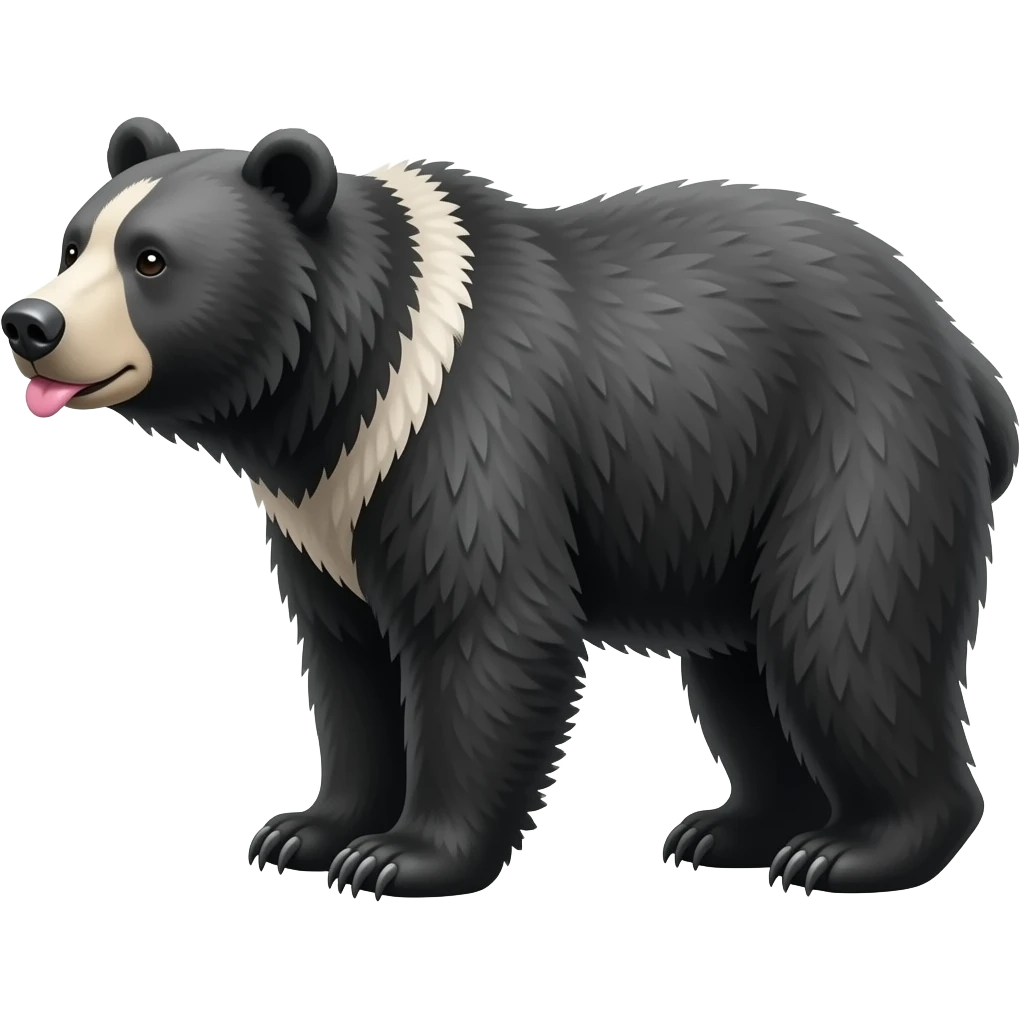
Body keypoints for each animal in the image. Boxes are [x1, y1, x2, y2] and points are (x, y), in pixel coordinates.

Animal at [3, 117, 1016, 900]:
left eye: (151, 260)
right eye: (74, 241)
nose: (31, 323)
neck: (336, 397)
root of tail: (963, 352)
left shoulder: (469, 434)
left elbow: (485, 628)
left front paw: (403, 857)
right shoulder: (322, 512)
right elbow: (344, 655)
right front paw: (305, 830)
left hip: (856, 445)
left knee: (841, 630)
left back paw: (855, 850)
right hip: (731, 495)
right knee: (739, 666)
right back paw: (732, 829)